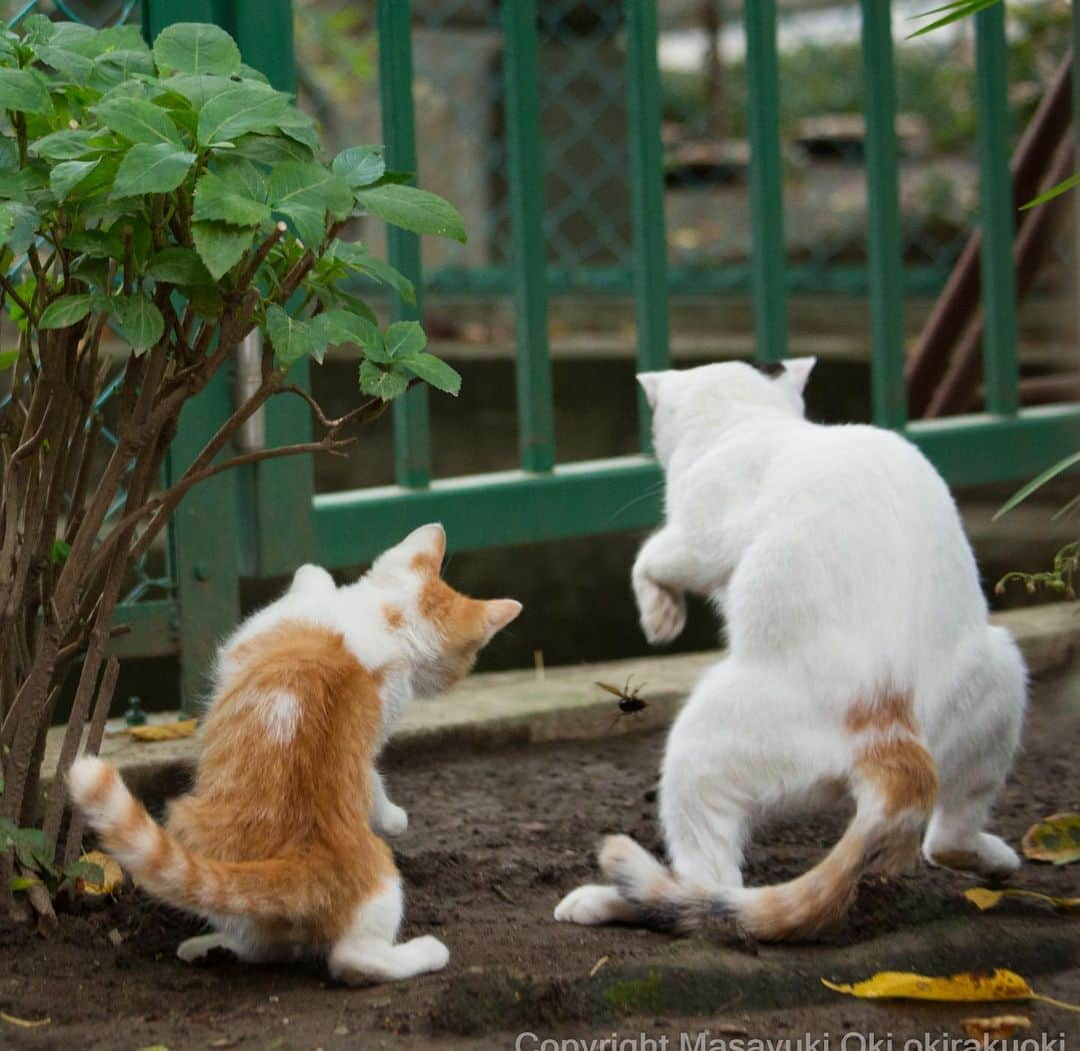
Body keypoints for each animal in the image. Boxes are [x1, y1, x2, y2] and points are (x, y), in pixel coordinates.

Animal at [69, 524, 520, 985]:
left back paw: (423, 952)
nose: (457, 678)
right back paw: (210, 947)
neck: (393, 625)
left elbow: (312, 578)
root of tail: (301, 862)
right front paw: (391, 815)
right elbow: (370, 775)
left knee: (347, 958)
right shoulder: (368, 738)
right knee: (269, 944)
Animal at [561, 358, 1023, 933]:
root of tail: (896, 740)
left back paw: (616, 900)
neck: (752, 423)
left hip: (699, 742)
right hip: (1000, 671)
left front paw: (660, 614)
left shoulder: (699, 536)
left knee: (710, 890)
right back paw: (990, 860)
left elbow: (651, 555)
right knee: (947, 838)